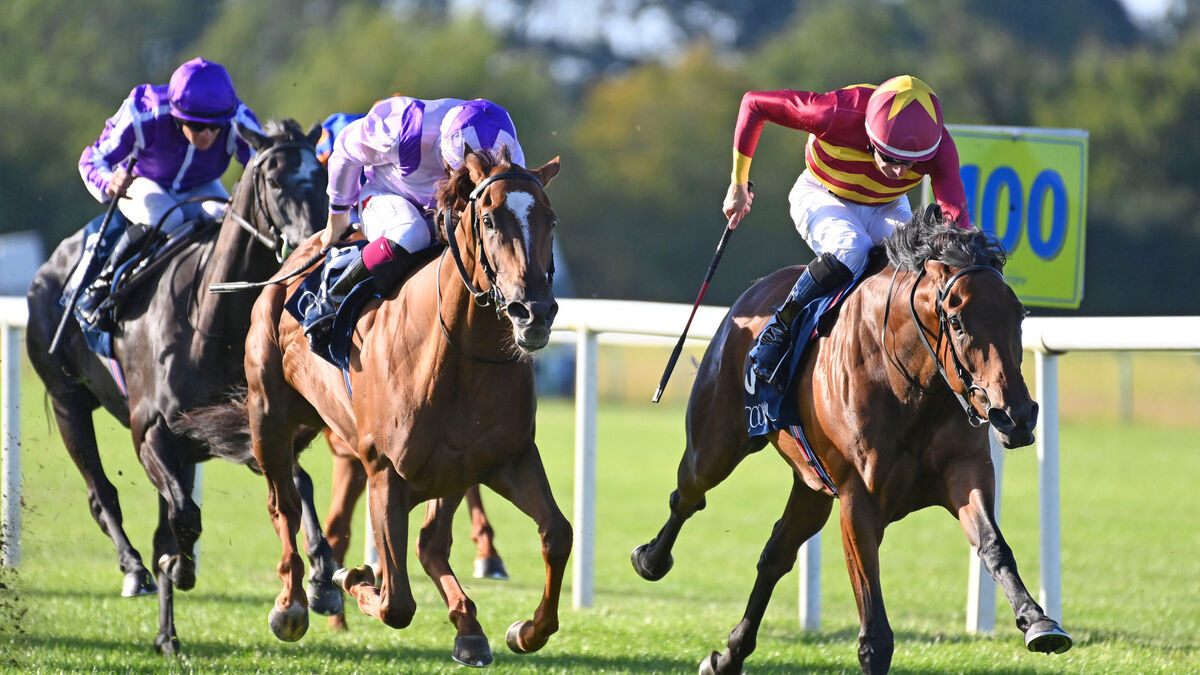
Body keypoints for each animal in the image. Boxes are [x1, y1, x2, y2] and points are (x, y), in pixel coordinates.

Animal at [23, 119, 339, 654]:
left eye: (322, 178)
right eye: (275, 180)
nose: (312, 250)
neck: (209, 321)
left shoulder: (239, 430)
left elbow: (297, 485)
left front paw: (321, 579)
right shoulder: (151, 433)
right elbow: (185, 518)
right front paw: (181, 568)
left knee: (161, 521)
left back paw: (167, 635)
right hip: (68, 403)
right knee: (103, 495)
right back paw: (136, 571)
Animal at [630, 207, 1073, 674]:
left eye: (1019, 315)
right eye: (956, 321)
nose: (1017, 416)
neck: (910, 383)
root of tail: (753, 293)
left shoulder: (965, 473)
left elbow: (993, 545)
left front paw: (1038, 621)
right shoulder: (858, 501)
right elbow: (875, 631)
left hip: (811, 485)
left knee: (775, 555)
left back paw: (728, 656)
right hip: (717, 442)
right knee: (689, 494)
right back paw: (650, 560)